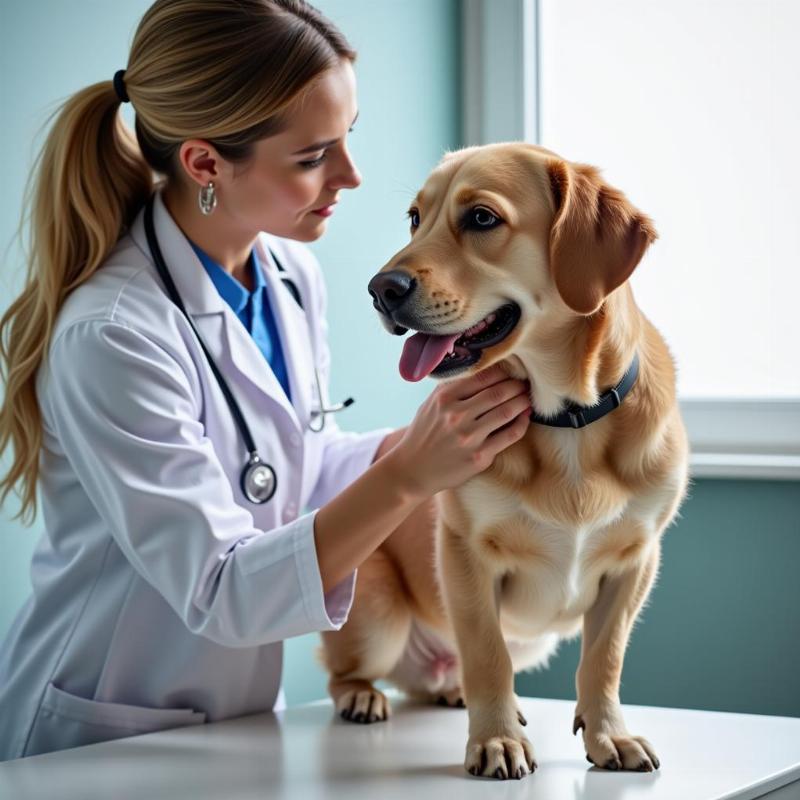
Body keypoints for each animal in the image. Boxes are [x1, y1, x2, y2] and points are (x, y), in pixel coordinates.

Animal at [316, 141, 692, 780]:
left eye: (481, 218)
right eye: (415, 217)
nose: (379, 289)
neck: (567, 418)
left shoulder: (636, 562)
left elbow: (604, 658)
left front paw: (610, 735)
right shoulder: (465, 552)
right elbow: (488, 654)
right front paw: (496, 740)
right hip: (376, 619)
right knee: (349, 672)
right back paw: (365, 696)